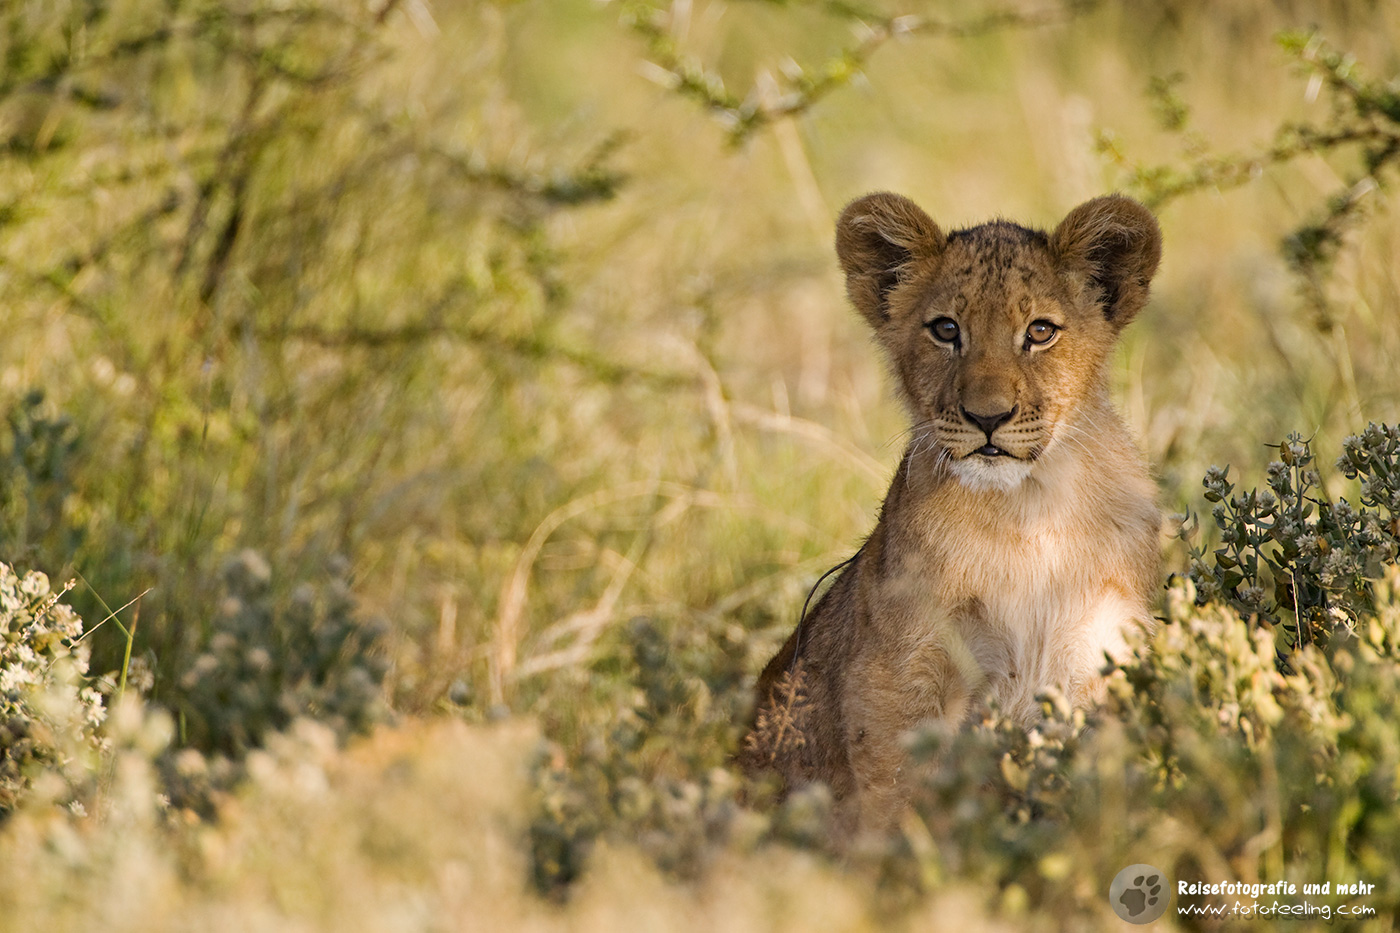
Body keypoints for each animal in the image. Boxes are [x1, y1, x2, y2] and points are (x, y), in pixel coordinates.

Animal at [739, 191, 1163, 837]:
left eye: (1040, 331)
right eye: (945, 330)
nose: (988, 417)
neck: (1026, 512)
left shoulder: (1098, 651)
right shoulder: (896, 674)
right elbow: (898, 798)